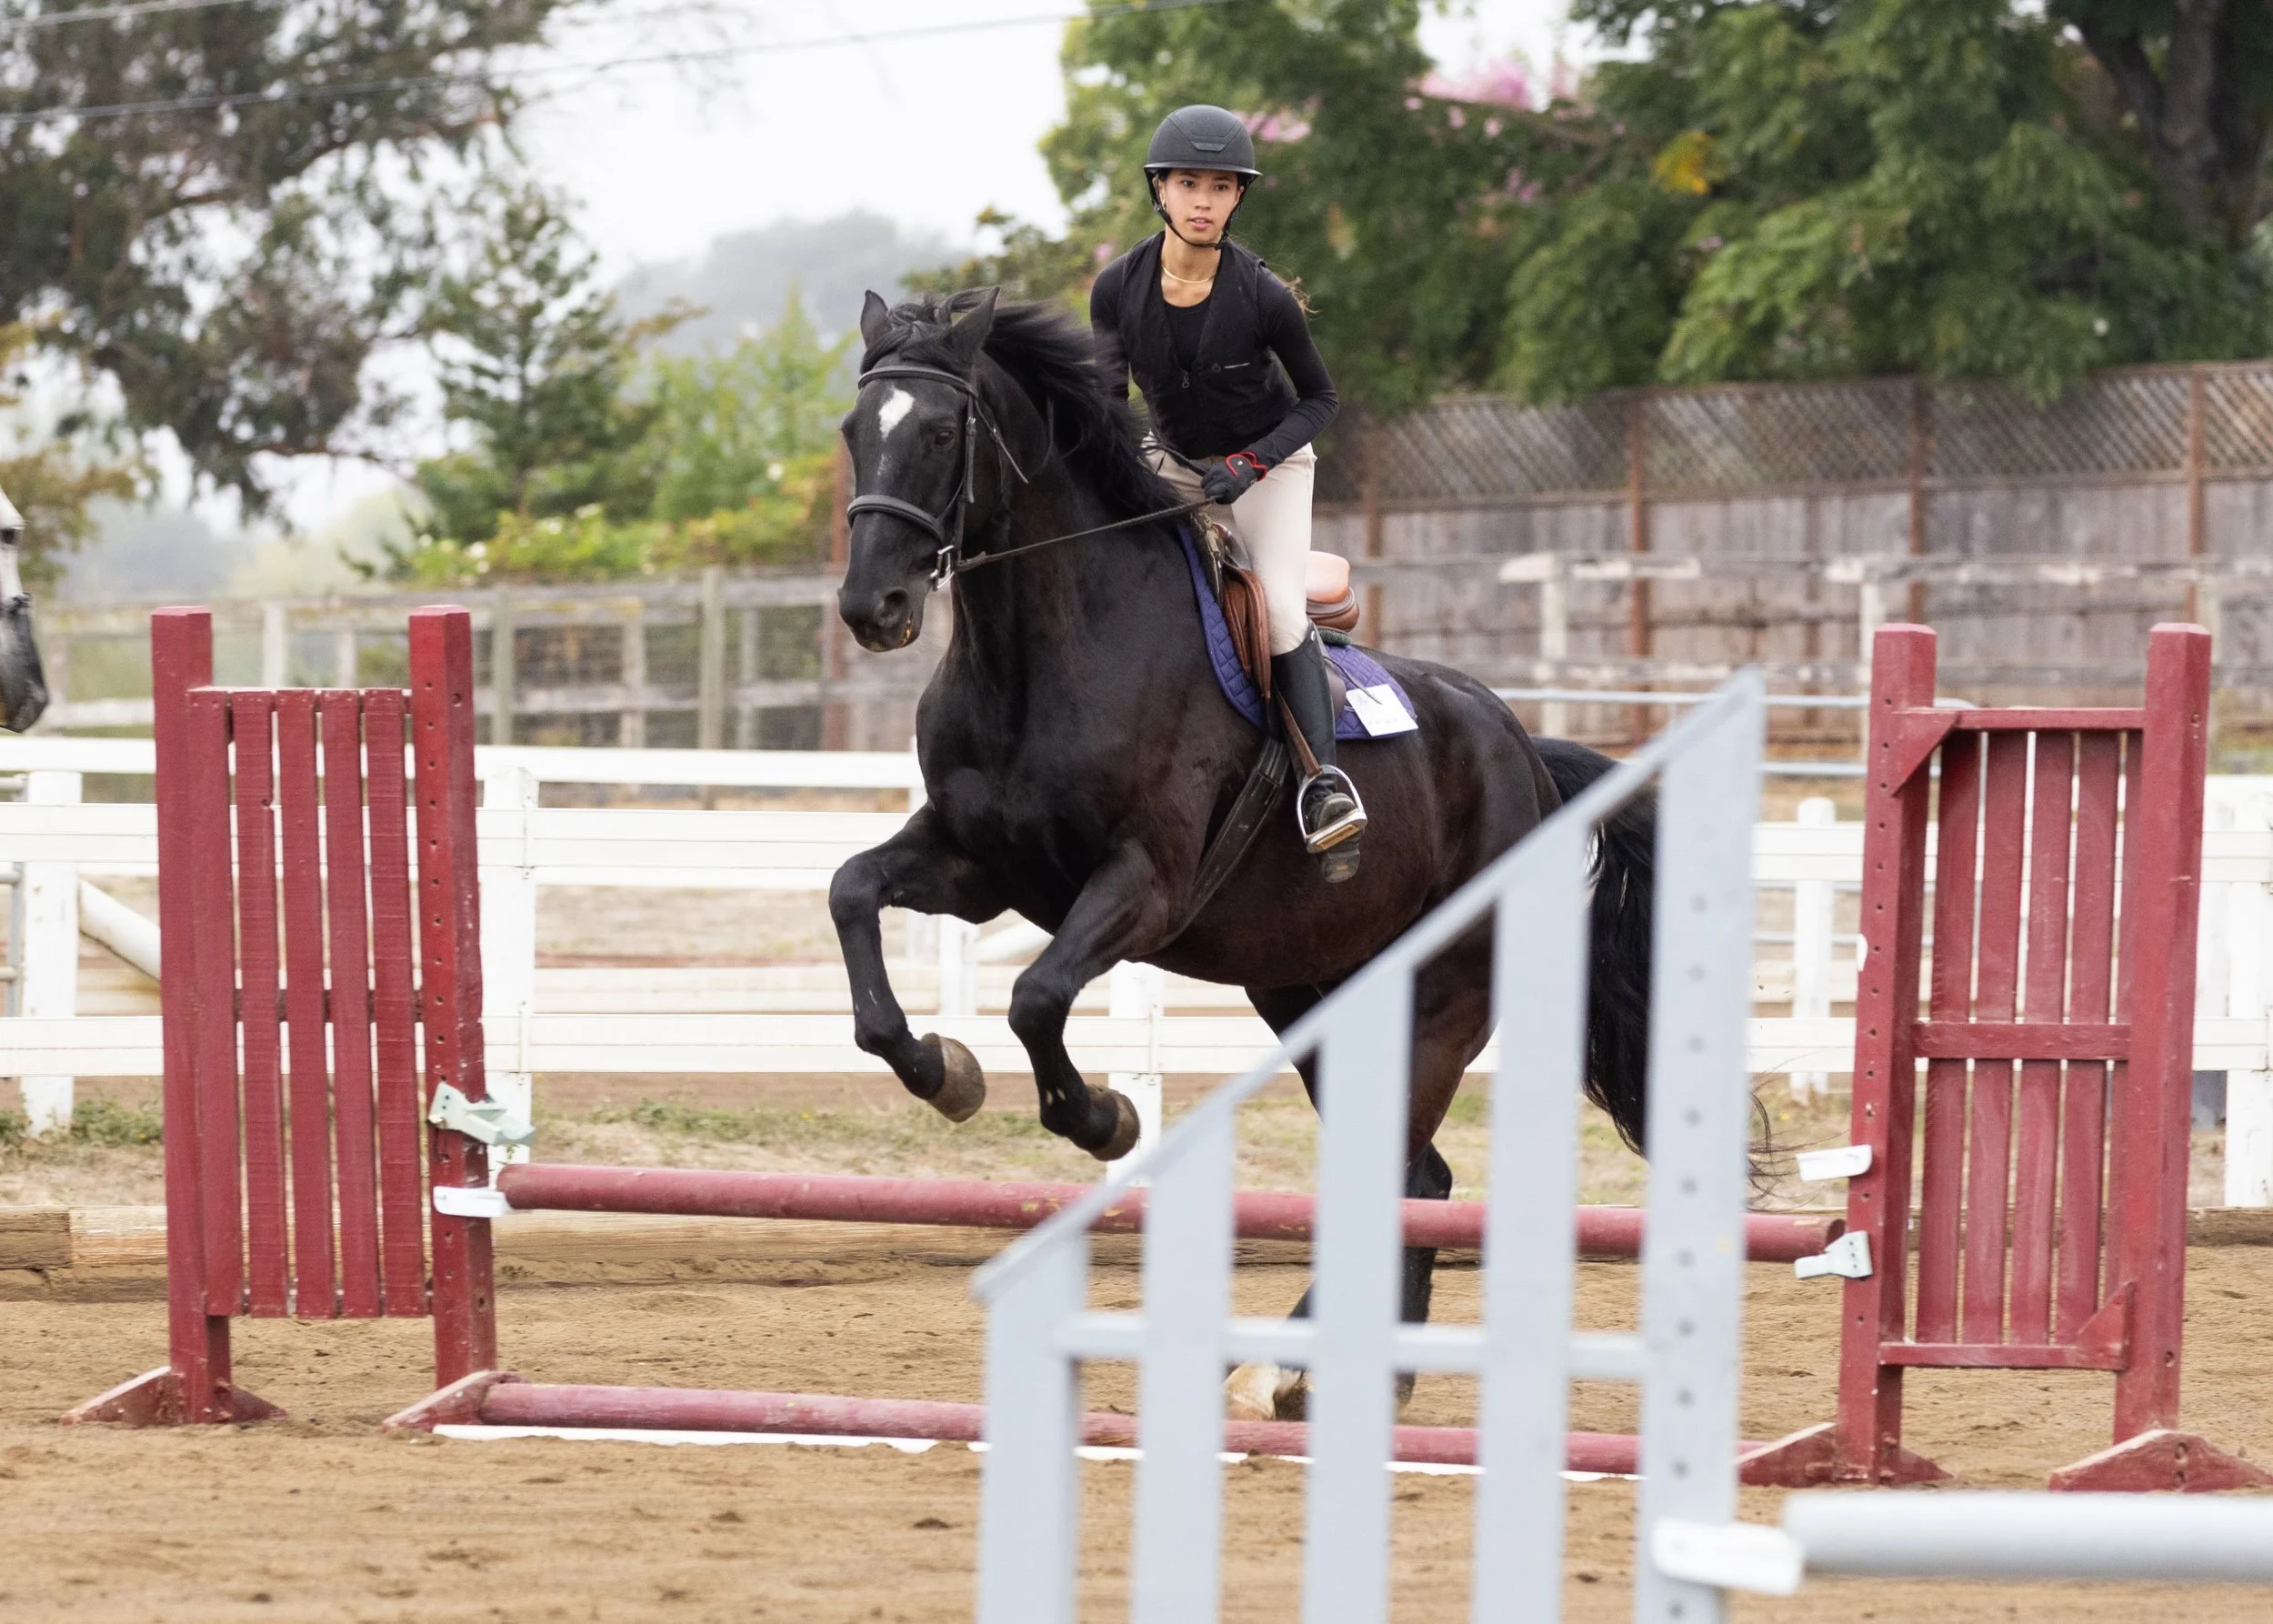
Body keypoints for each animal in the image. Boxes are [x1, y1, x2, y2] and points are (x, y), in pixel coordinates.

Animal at [827, 288, 1653, 1419]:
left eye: (945, 434)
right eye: (851, 433)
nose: (872, 610)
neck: (1043, 654)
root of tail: (1523, 750)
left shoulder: (1145, 883)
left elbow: (1036, 997)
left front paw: (1102, 1119)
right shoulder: (975, 865)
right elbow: (853, 895)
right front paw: (940, 1070)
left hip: (1438, 999)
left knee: (1403, 1170)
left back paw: (1302, 1370)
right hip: (1306, 993)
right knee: (1416, 1175)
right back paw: (1336, 1370)